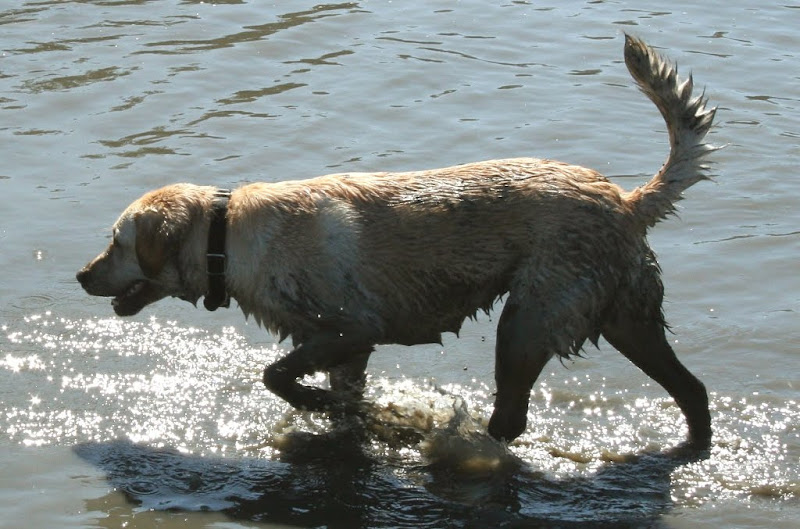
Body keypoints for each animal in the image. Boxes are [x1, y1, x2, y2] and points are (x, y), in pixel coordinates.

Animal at [78, 34, 716, 446]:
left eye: (116, 242)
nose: (81, 275)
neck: (225, 236)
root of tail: (627, 201)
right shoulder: (341, 347)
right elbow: (331, 393)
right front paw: (339, 413)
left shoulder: (353, 329)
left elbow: (274, 375)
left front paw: (314, 402)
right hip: (626, 319)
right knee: (693, 390)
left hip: (529, 322)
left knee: (512, 418)